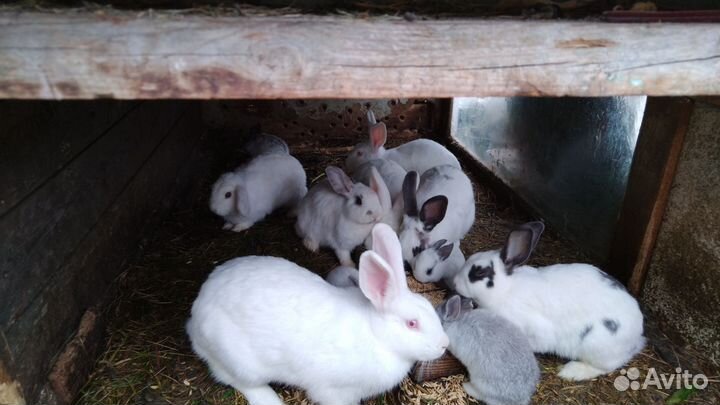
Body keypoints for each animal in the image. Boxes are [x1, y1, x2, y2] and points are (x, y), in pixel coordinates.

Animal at [186, 224, 449, 405]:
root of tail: (196, 316)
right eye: (412, 323)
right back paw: (270, 399)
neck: (377, 334)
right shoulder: (335, 391)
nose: (444, 344)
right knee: (231, 377)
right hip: (241, 362)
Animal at [453, 221, 646, 381]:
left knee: (604, 367)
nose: (454, 282)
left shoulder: (535, 329)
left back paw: (571, 371)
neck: (505, 290)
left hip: (596, 345)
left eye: (479, 272)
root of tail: (637, 335)